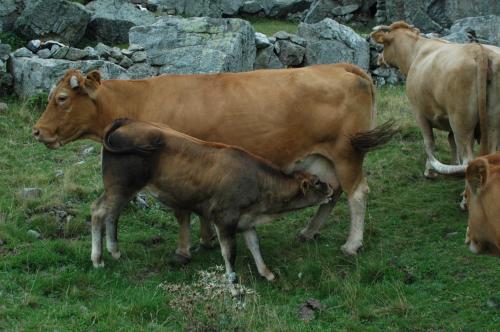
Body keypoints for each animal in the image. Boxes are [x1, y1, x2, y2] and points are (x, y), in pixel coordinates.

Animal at [94, 118, 336, 280]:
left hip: (122, 189)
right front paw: (233, 282)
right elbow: (229, 252)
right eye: (317, 182)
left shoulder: (246, 220)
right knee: (98, 211)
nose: (331, 188)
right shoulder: (224, 219)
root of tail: (128, 122)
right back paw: (98, 260)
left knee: (112, 214)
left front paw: (266, 273)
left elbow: (255, 246)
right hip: (120, 185)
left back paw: (114, 252)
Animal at [370, 21, 498, 187]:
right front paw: (453, 164)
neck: (416, 52)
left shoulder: (419, 113)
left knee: (468, 159)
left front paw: (429, 171)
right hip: (493, 125)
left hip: (461, 122)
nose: (378, 59)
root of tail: (478, 50)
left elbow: (429, 142)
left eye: (384, 45)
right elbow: (451, 141)